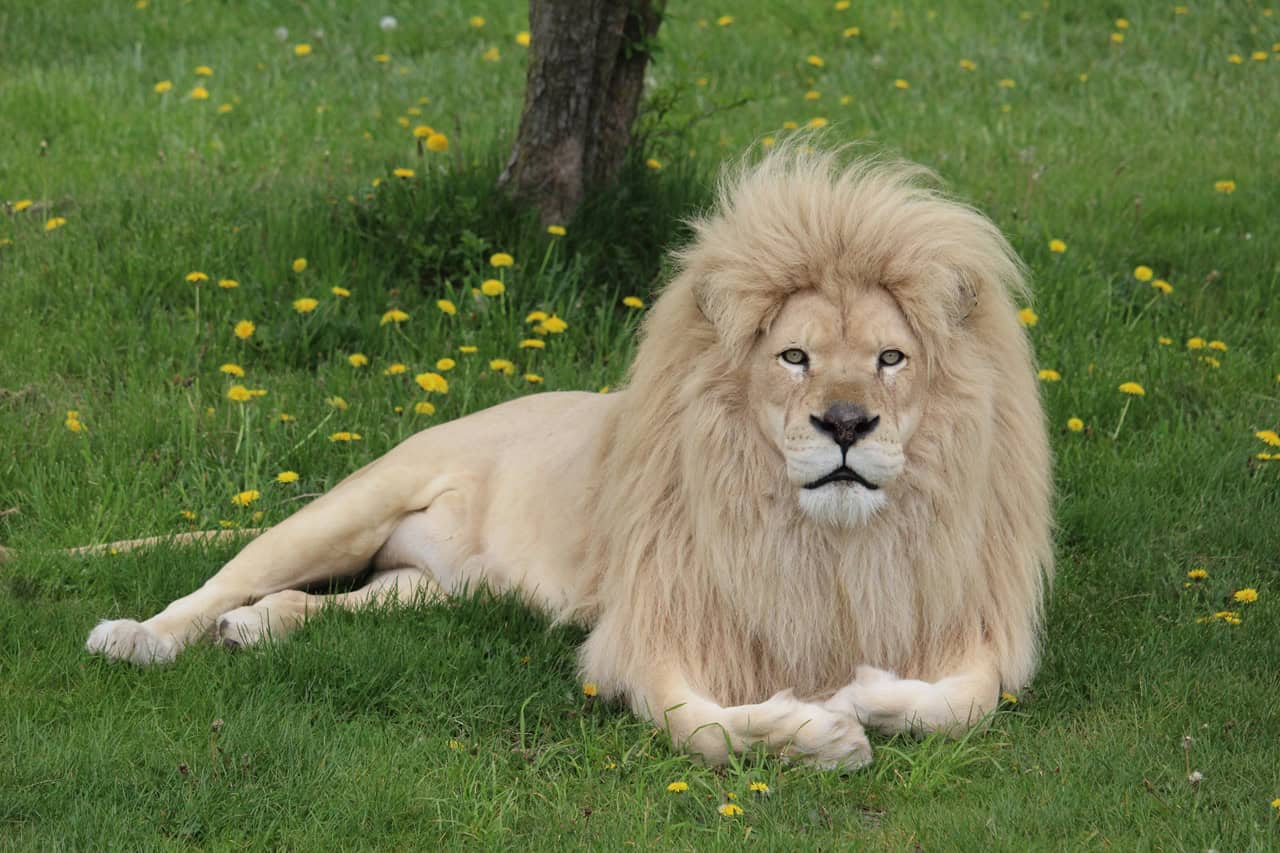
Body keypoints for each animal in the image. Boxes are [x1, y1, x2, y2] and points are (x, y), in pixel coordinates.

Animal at [84, 147, 1052, 770]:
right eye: (794, 356)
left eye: (891, 358)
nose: (845, 423)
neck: (831, 541)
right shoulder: (652, 628)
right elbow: (701, 727)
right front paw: (822, 733)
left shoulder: (972, 620)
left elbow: (966, 701)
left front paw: (856, 696)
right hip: (349, 507)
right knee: (221, 580)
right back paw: (139, 636)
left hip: (436, 586)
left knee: (320, 599)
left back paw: (256, 626)